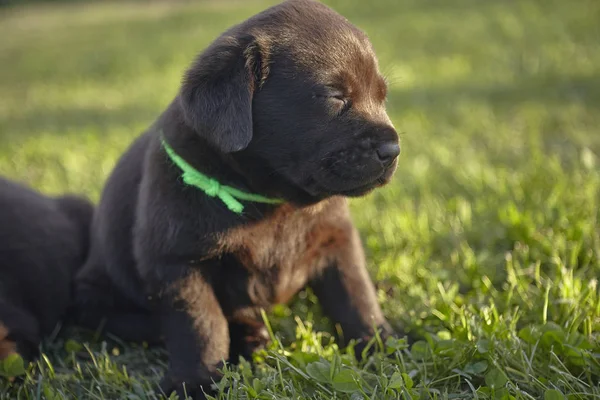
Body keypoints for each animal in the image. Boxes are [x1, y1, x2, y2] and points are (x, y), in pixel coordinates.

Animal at [76, 0, 404, 396]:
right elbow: (202, 326)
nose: (393, 149)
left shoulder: (336, 239)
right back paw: (250, 337)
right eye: (335, 96)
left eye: (383, 96)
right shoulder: (175, 262)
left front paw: (382, 345)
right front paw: (196, 381)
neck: (271, 200)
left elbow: (356, 295)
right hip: (93, 298)